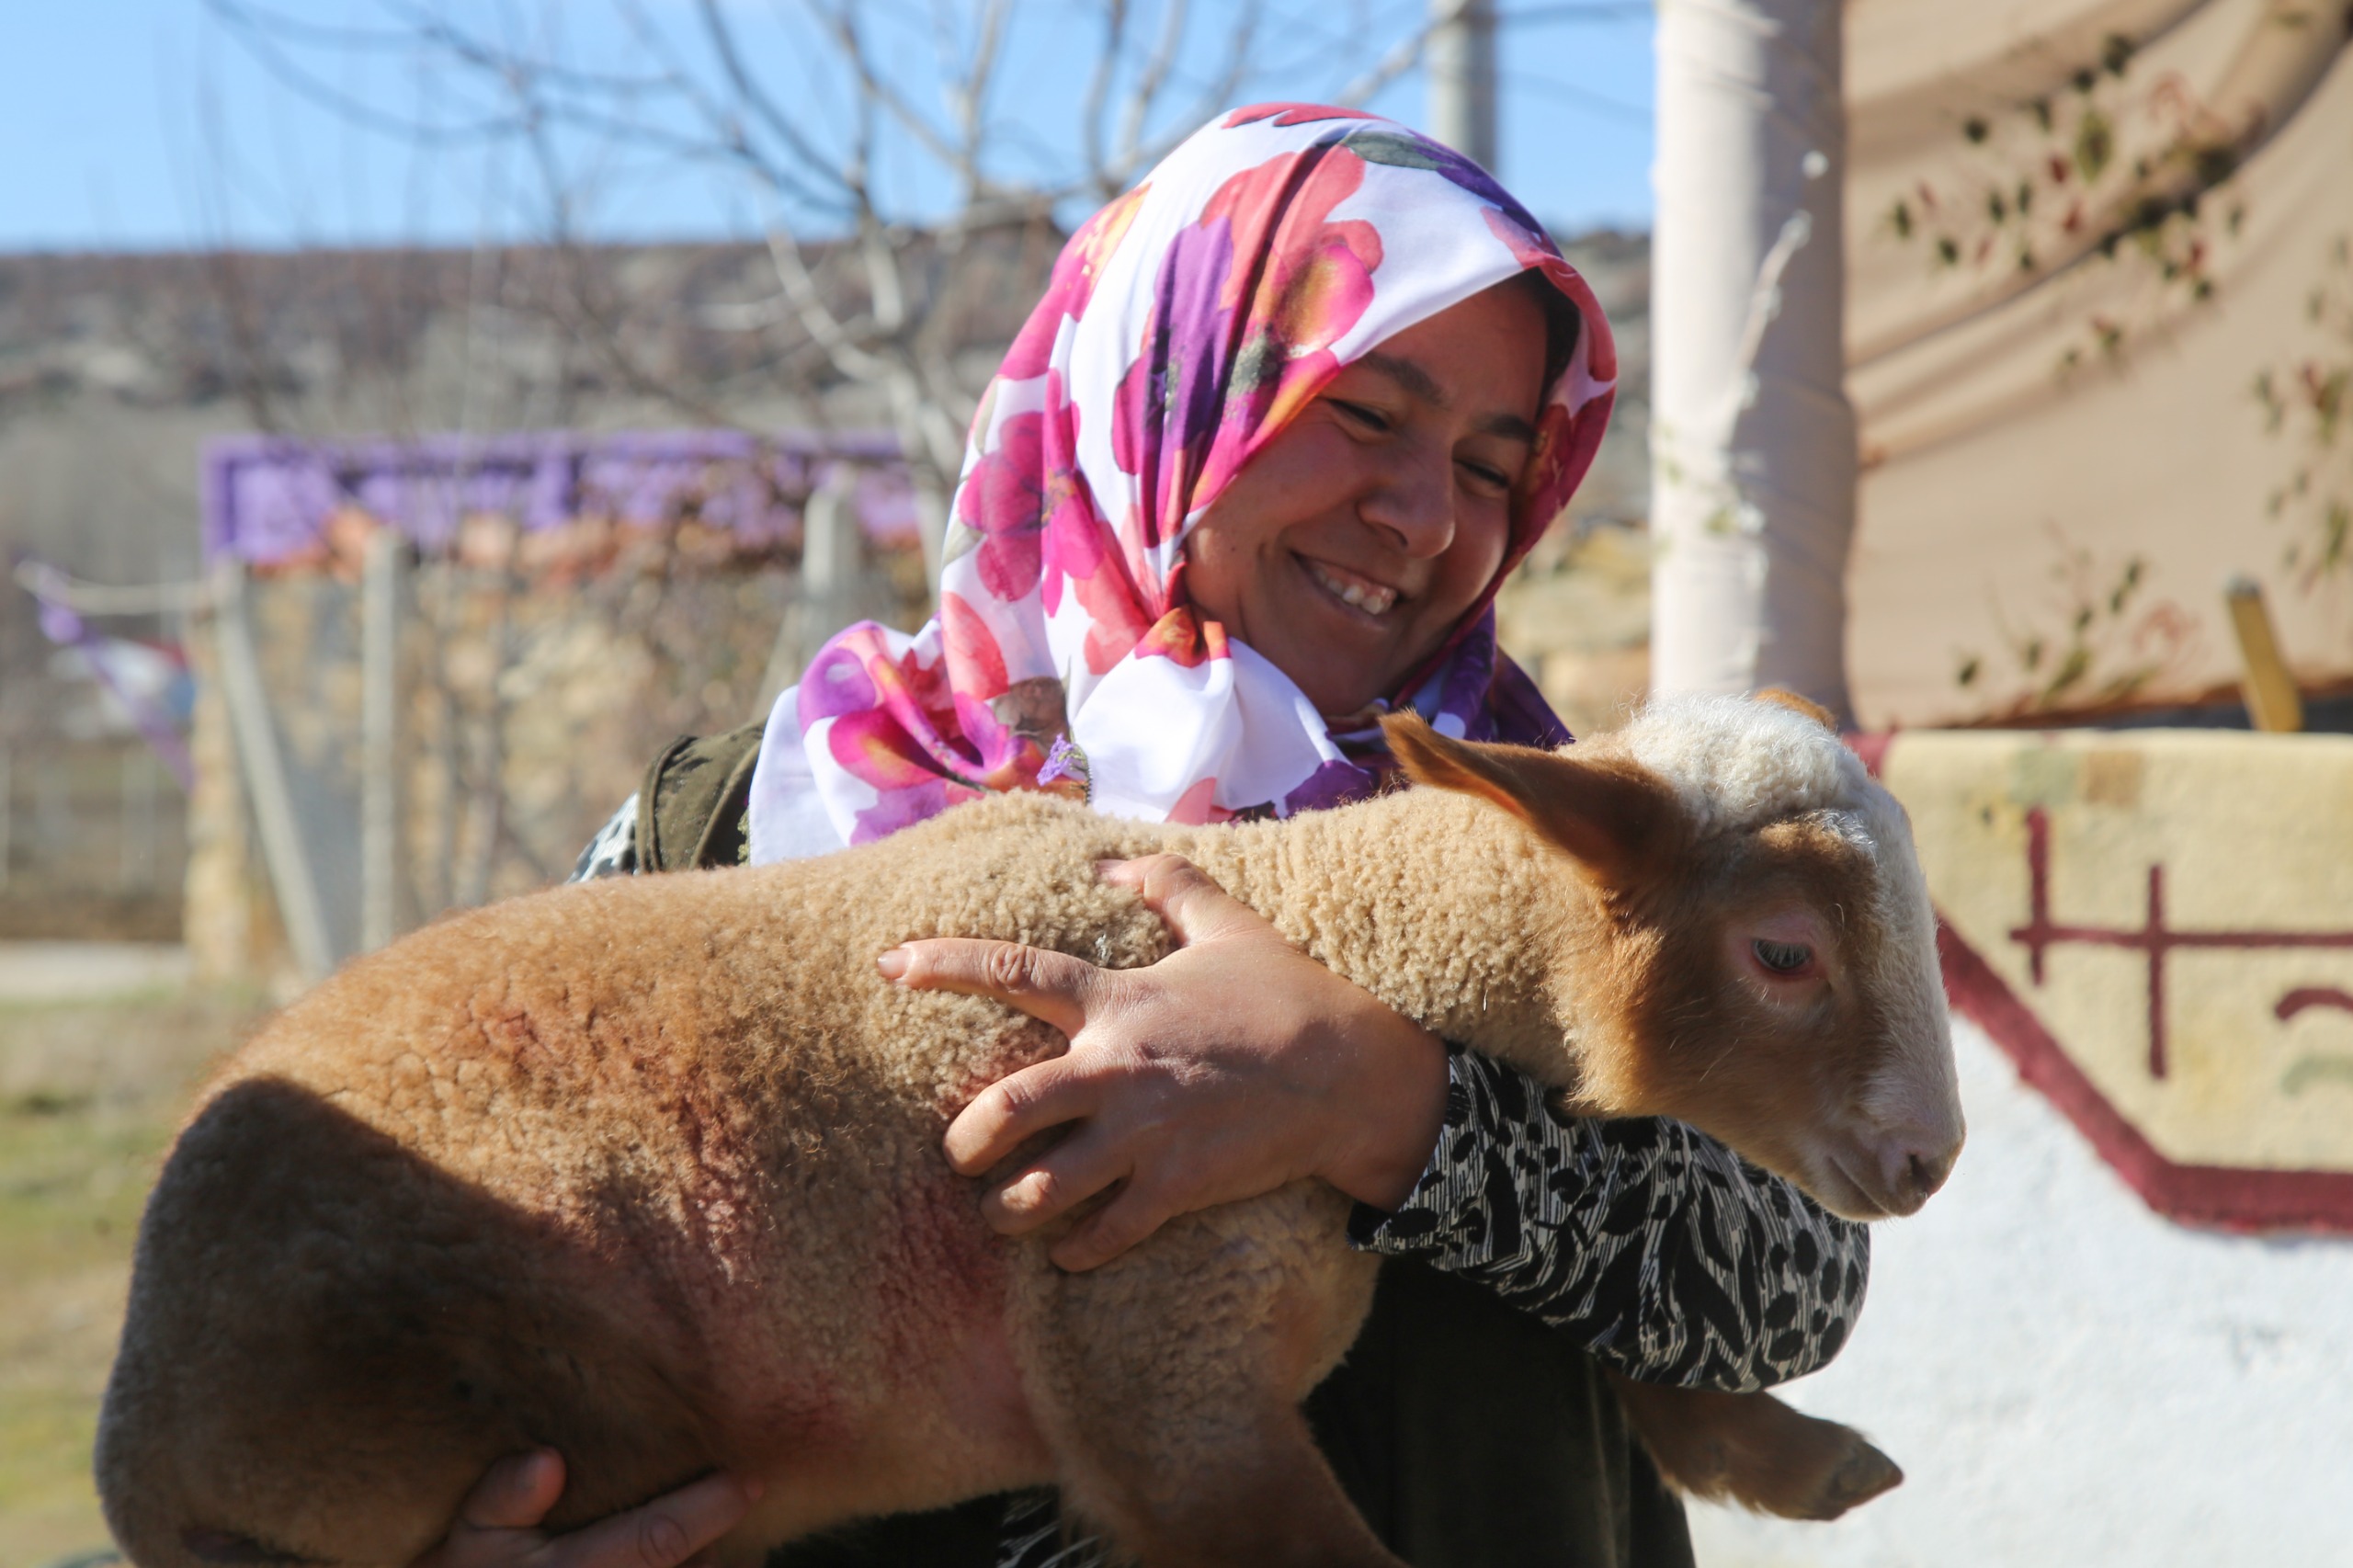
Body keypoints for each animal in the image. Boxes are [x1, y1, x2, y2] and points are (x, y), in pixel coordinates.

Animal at [96, 692, 1967, 1562]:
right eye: (1785, 953)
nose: (1932, 1162)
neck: (1319, 924)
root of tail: (136, 1439)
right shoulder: (1156, 1376)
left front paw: (1793, 1457)